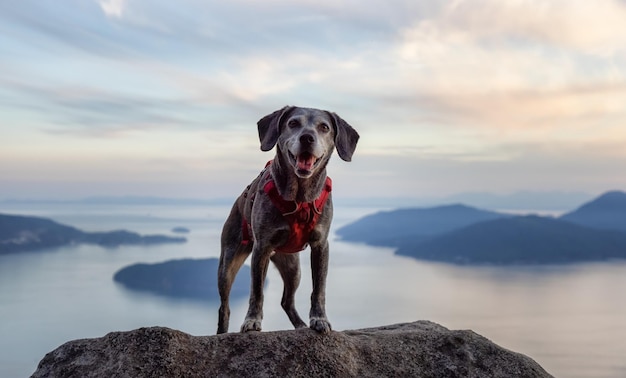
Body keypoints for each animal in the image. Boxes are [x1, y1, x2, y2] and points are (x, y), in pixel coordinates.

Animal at [217, 106, 358, 334]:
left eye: (324, 127)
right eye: (293, 123)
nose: (307, 137)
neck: (300, 199)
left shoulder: (320, 246)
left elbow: (319, 289)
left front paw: (319, 319)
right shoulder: (261, 248)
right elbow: (257, 291)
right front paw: (252, 320)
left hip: (293, 267)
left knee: (286, 300)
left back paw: (300, 325)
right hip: (228, 263)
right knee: (225, 307)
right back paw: (222, 332)